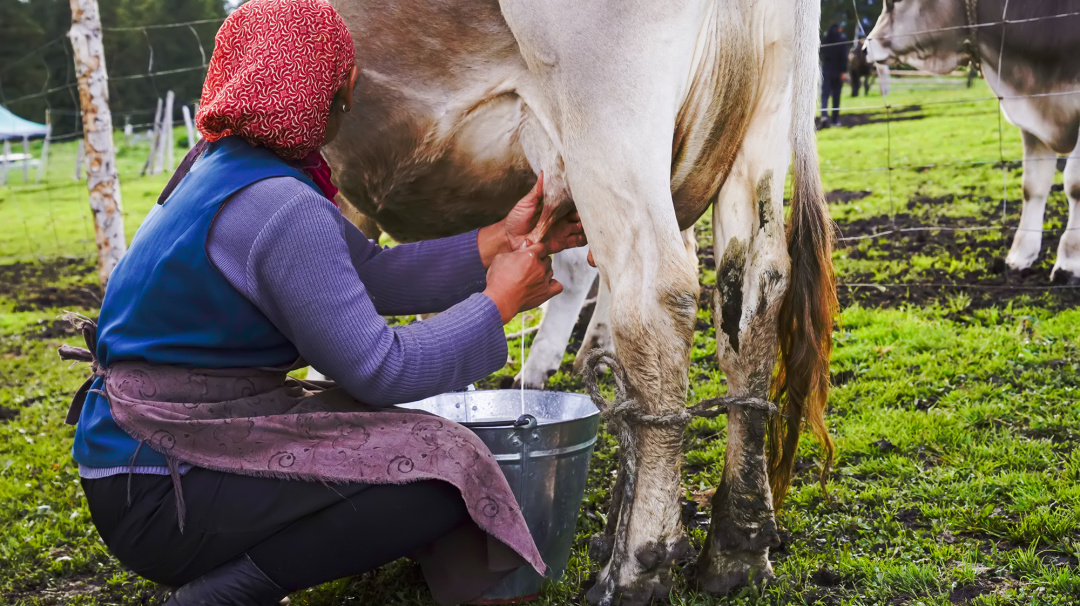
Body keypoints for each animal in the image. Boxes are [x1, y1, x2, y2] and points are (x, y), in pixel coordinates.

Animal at [324, 0, 838, 600]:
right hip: (760, 126)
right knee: (752, 294)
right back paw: (736, 546)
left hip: (608, 116)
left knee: (652, 299)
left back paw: (637, 566)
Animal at [864, 0, 1080, 283]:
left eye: (893, 3)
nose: (865, 47)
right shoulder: (1032, 123)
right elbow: (1033, 187)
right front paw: (1020, 256)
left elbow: (1074, 185)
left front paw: (1069, 263)